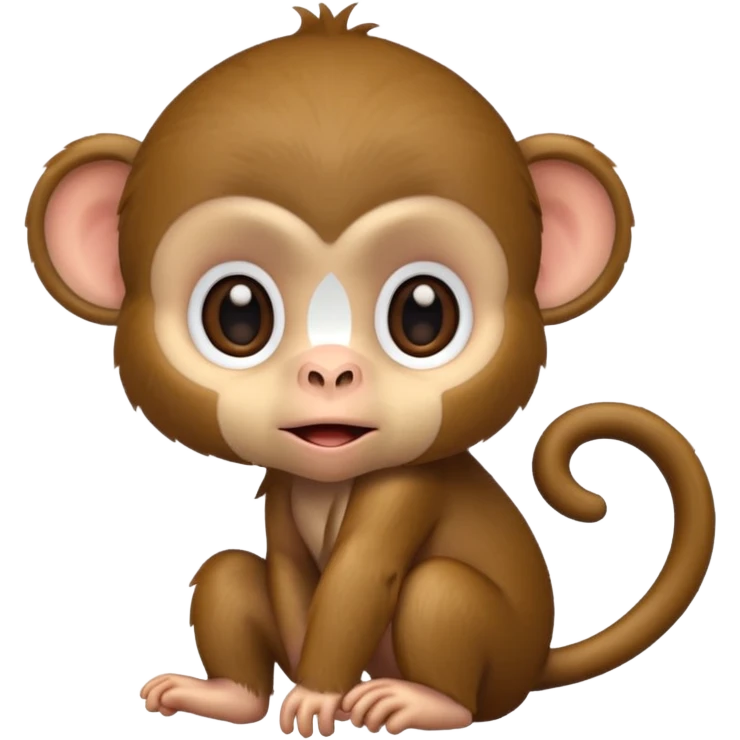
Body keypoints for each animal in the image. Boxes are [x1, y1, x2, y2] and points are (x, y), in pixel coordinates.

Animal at [24, 2, 715, 736]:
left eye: (423, 315)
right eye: (238, 315)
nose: (330, 371)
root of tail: (536, 664)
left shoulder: (404, 487)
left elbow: (360, 576)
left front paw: (317, 692)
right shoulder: (284, 484)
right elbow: (288, 573)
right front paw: (305, 682)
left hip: (487, 657)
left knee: (439, 592)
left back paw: (429, 702)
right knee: (228, 571)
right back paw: (229, 695)